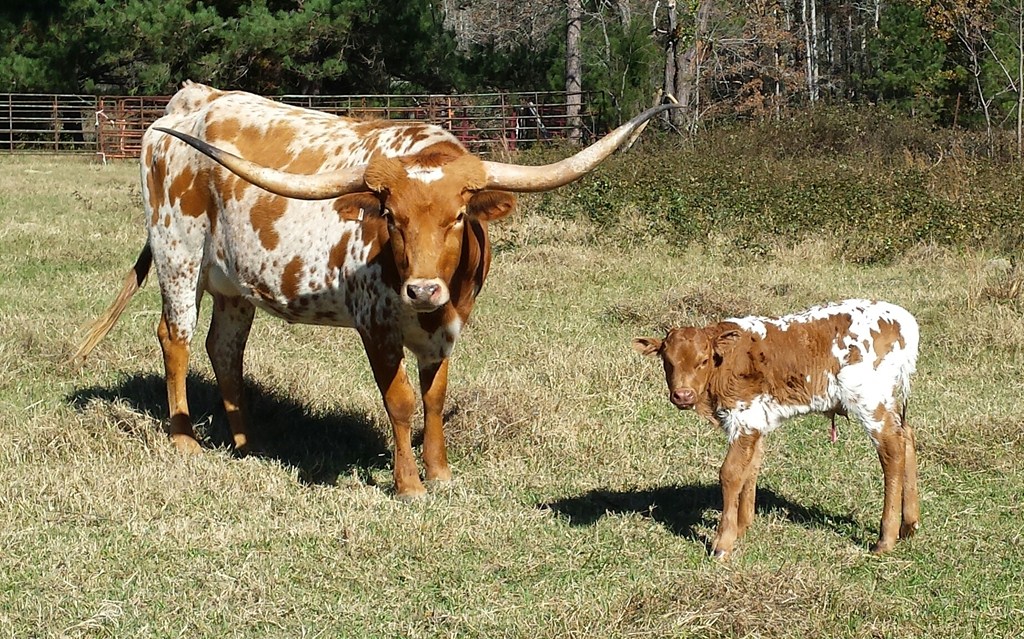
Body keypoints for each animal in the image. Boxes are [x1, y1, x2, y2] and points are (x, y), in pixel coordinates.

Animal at [68, 81, 674, 499]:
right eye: (391, 217)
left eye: (458, 218)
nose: (422, 290)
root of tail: (190, 102)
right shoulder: (375, 324)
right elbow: (401, 400)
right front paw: (409, 485)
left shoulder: (447, 327)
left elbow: (435, 397)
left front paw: (441, 474)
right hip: (178, 255)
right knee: (176, 338)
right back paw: (185, 440)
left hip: (235, 284)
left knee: (225, 348)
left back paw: (247, 444)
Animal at [632, 299, 920, 558]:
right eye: (667, 361)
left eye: (703, 361)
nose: (683, 395)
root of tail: (900, 317)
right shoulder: (756, 423)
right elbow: (750, 468)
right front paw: (743, 527)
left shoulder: (744, 419)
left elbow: (731, 473)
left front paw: (723, 542)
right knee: (907, 436)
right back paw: (909, 524)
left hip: (870, 401)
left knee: (892, 450)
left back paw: (886, 539)